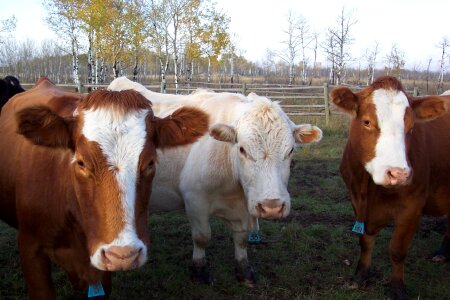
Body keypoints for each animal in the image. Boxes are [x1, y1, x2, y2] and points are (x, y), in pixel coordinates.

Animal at [330, 76, 450, 298]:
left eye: (411, 127)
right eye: (367, 122)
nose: (398, 173)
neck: (369, 188)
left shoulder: (412, 206)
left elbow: (397, 249)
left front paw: (397, 287)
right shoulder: (356, 199)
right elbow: (365, 240)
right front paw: (360, 276)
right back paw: (443, 252)